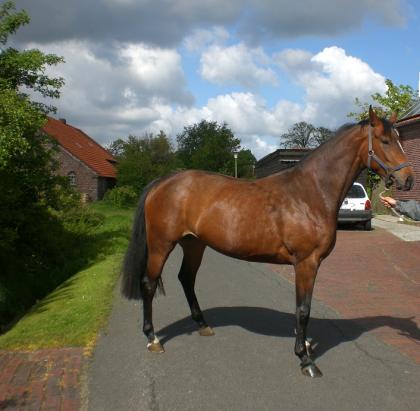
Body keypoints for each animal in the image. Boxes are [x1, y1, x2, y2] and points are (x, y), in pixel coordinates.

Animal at [121, 108, 414, 378]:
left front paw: (305, 344)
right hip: (161, 246)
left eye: (400, 139)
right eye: (385, 141)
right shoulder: (306, 262)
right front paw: (305, 359)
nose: (408, 179)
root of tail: (163, 182)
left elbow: (301, 306)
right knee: (149, 284)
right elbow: (303, 308)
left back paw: (202, 325)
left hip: (194, 244)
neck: (310, 193)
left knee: (186, 279)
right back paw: (153, 338)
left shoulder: (307, 264)